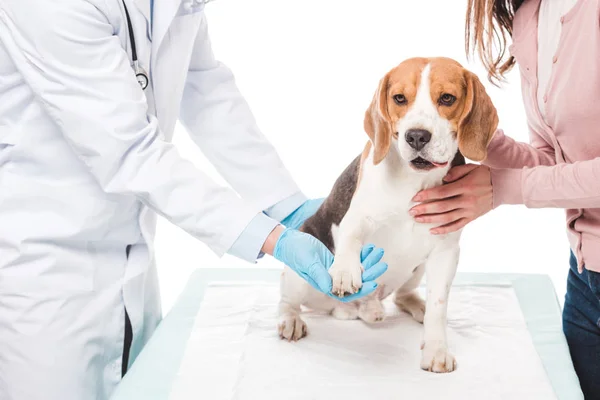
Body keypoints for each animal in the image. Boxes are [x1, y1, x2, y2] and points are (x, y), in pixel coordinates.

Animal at [276, 57, 496, 374]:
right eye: (399, 98)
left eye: (447, 98)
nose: (416, 136)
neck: (413, 181)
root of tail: (347, 310)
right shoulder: (357, 218)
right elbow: (351, 237)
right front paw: (345, 272)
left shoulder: (445, 251)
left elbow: (439, 307)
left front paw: (437, 349)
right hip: (298, 268)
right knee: (287, 300)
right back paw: (291, 320)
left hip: (418, 269)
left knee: (403, 296)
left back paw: (408, 306)